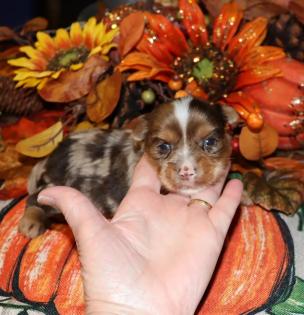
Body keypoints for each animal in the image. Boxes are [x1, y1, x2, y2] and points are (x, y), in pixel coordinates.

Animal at [19, 96, 235, 237]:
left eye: (210, 142)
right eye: (163, 147)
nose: (186, 171)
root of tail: (49, 157)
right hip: (55, 184)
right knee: (34, 198)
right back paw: (31, 222)